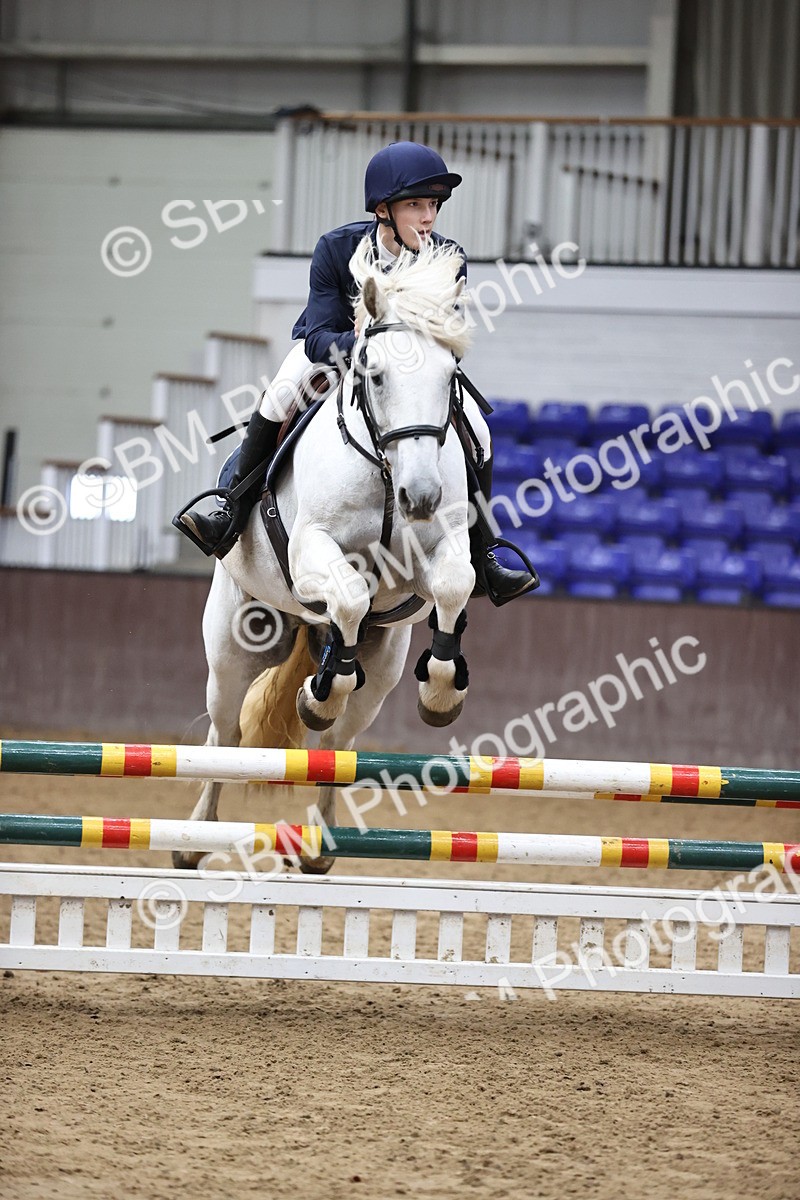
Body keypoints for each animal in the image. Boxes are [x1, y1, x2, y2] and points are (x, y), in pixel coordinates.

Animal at [173, 237, 476, 873]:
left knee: (339, 744)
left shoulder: (442, 550)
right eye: (375, 375)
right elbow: (351, 594)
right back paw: (192, 840)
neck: (385, 468)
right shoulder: (313, 548)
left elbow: (452, 586)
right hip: (232, 645)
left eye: (450, 377)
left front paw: (441, 691)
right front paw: (326, 687)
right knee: (224, 738)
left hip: (382, 669)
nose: (421, 496)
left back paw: (319, 840)